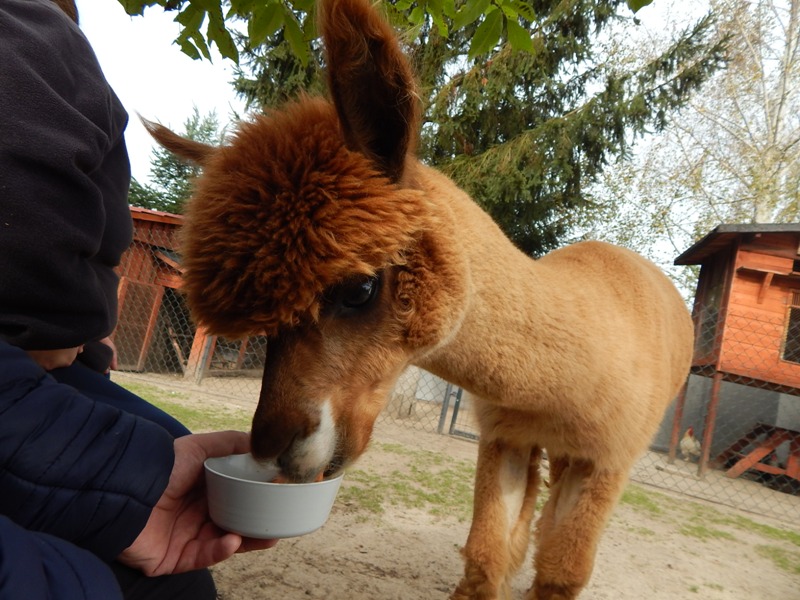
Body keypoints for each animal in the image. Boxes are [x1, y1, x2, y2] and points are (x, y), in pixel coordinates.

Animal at [144, 0, 695, 597]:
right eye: (271, 327)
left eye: (359, 288)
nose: (272, 446)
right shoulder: (504, 435)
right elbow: (486, 554)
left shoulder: (610, 456)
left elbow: (561, 573)